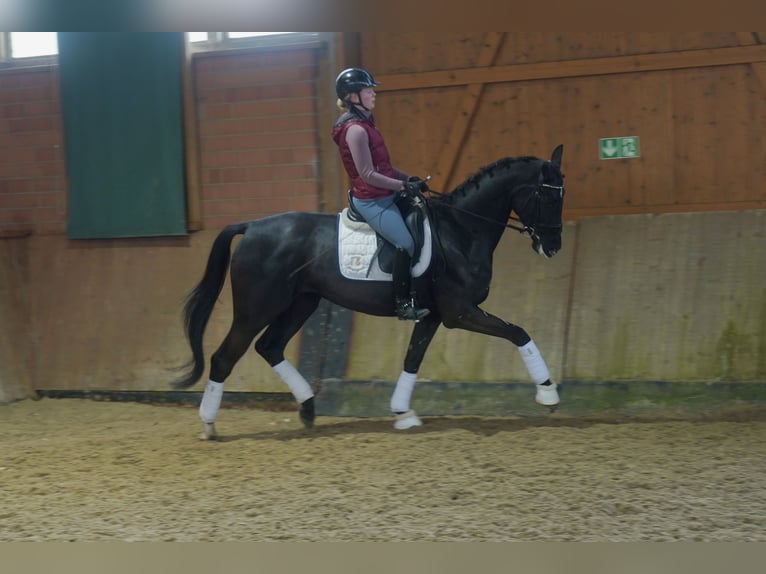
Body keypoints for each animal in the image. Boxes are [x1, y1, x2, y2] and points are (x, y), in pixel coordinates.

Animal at [177, 146, 568, 438]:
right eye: (548, 198)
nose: (553, 247)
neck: (461, 229)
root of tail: (252, 226)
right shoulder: (460, 312)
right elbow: (518, 333)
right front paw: (548, 393)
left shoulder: (435, 315)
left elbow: (412, 359)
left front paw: (403, 413)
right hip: (256, 308)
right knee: (224, 357)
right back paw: (209, 425)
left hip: (301, 304)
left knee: (269, 347)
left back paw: (308, 409)